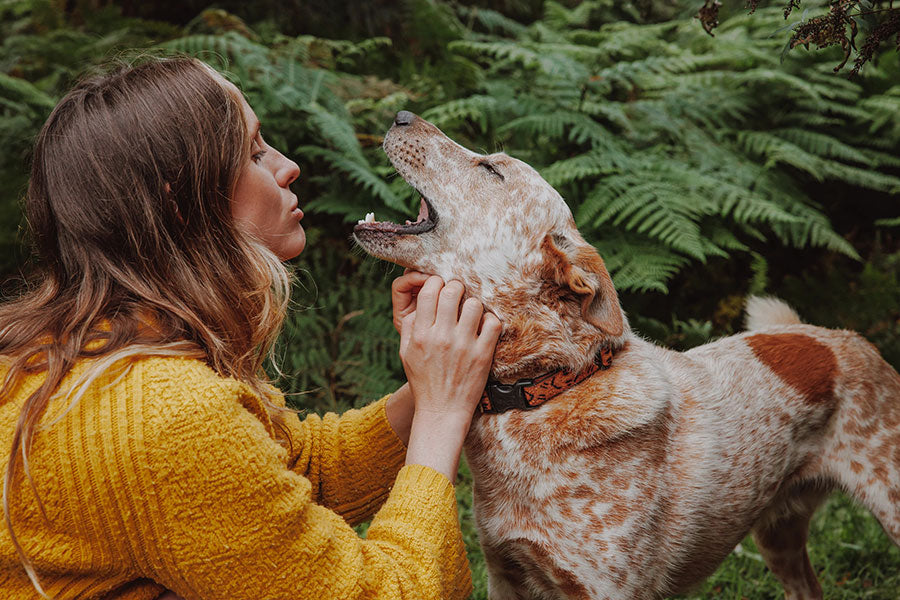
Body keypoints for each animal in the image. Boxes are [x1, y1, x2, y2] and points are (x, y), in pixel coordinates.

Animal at [354, 112, 900, 600]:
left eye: (491, 169)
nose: (401, 113)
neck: (544, 391)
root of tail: (836, 336)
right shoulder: (506, 574)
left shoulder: (607, 589)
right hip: (777, 536)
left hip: (888, 502)